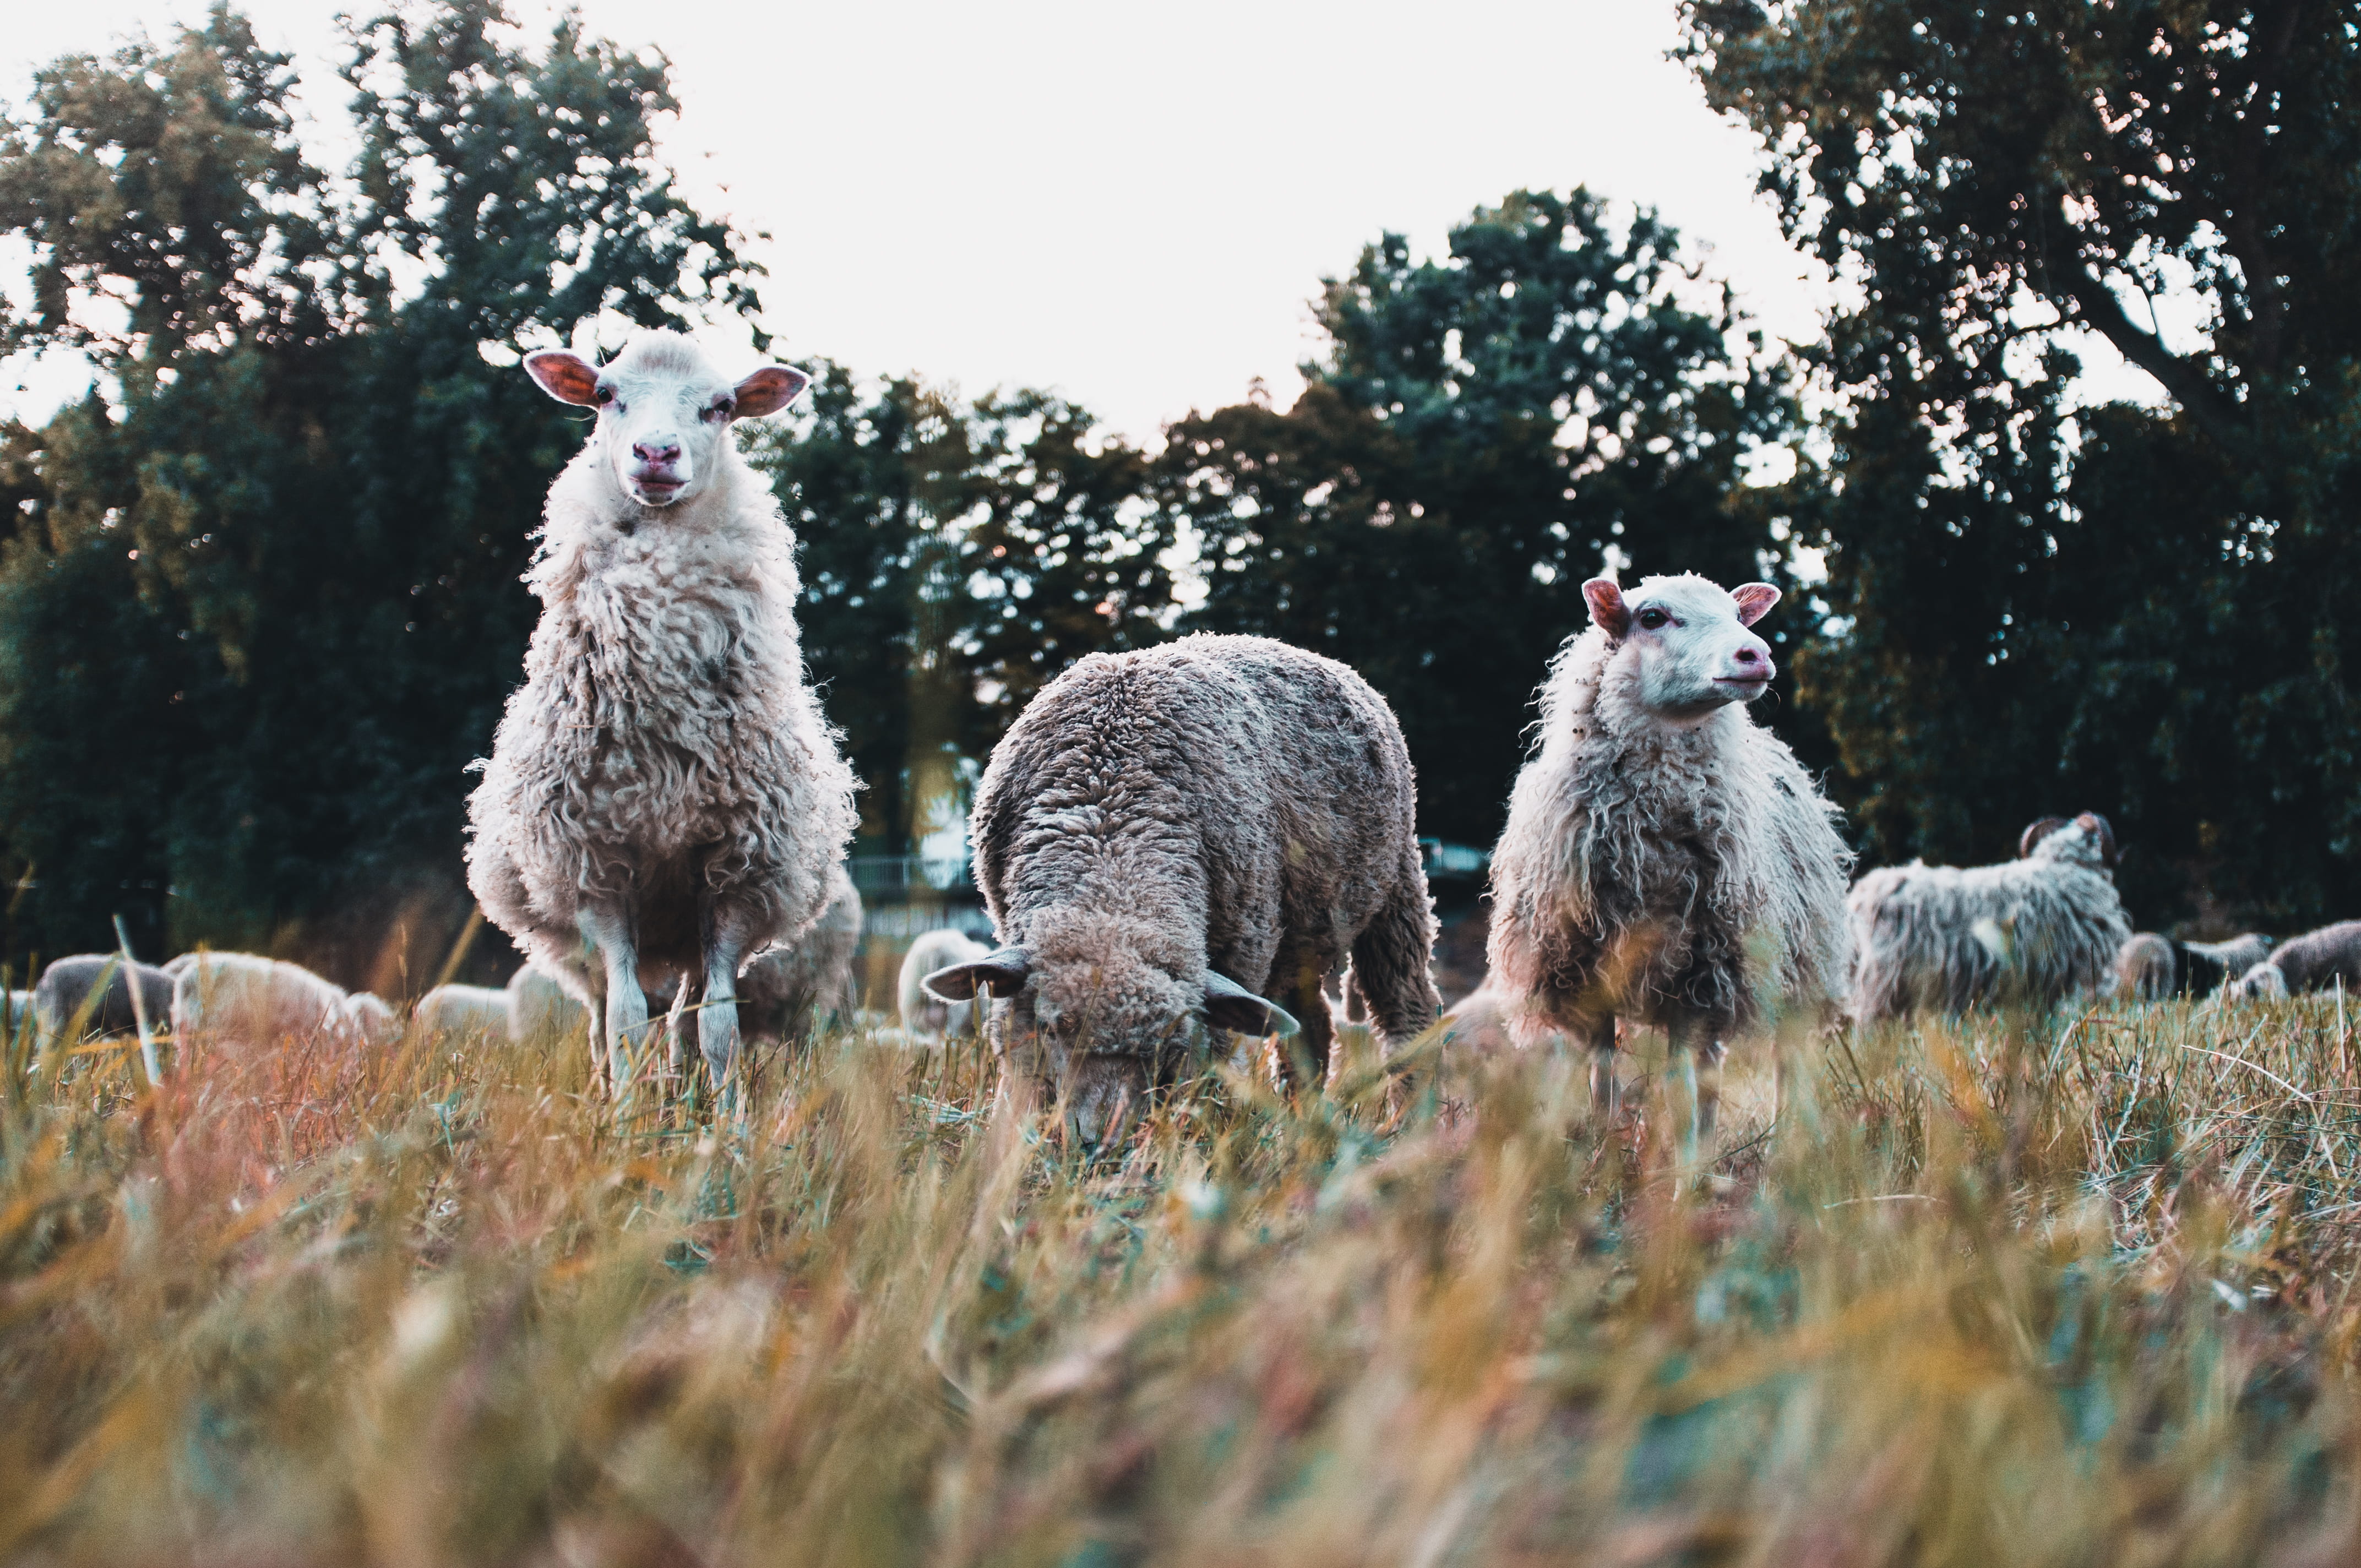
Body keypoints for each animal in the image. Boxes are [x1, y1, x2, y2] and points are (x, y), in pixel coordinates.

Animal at [464, 330, 860, 1104]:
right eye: (606, 394)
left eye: (723, 405)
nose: (655, 453)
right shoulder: (598, 866)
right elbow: (623, 1017)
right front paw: (622, 1117)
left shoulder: (735, 873)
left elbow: (720, 1026)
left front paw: (729, 1120)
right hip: (597, 934)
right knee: (604, 1014)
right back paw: (616, 1091)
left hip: (683, 925)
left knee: (681, 1016)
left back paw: (682, 1093)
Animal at [922, 632, 1441, 1149]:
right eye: (1051, 1028)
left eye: (1168, 1046)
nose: (1099, 1144)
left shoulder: (1240, 952)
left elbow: (1208, 1063)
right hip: (1304, 936)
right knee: (1311, 1025)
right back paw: (1302, 1124)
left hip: (1398, 886)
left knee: (1404, 1006)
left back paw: (1408, 1122)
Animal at [1485, 573, 1854, 1167]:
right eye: (1653, 617)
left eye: (1737, 614)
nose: (1756, 654)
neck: (1647, 855)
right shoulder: (1586, 979)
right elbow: (1604, 1083)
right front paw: (1605, 1162)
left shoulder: (1697, 978)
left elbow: (1679, 1089)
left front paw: (1681, 1179)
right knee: (1711, 1071)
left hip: (1793, 970)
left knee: (1781, 1063)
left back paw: (1779, 1153)